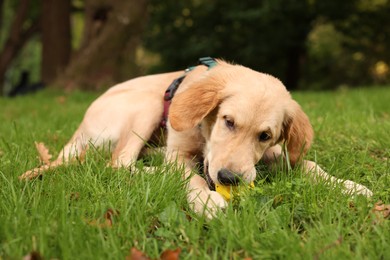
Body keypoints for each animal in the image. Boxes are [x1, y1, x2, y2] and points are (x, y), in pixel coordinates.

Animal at [19, 58, 374, 217]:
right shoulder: (180, 153)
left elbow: (309, 164)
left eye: (265, 135)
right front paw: (205, 199)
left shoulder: (271, 155)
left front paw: (349, 185)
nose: (228, 178)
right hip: (147, 104)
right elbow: (190, 176)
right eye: (228, 121)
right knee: (118, 162)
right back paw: (156, 170)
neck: (203, 131)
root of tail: (76, 133)